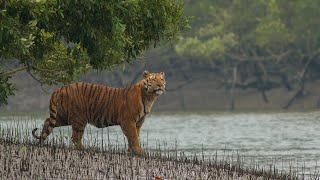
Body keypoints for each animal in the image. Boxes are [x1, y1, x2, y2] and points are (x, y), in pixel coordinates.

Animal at [32, 70, 166, 155]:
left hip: (63, 117)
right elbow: (133, 137)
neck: (150, 97)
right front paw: (139, 151)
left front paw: (131, 151)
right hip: (79, 118)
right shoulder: (128, 121)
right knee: (75, 137)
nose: (160, 85)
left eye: (162, 79)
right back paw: (85, 149)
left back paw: (41, 142)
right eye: (153, 79)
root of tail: (59, 89)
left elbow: (134, 137)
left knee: (47, 121)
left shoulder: (138, 123)